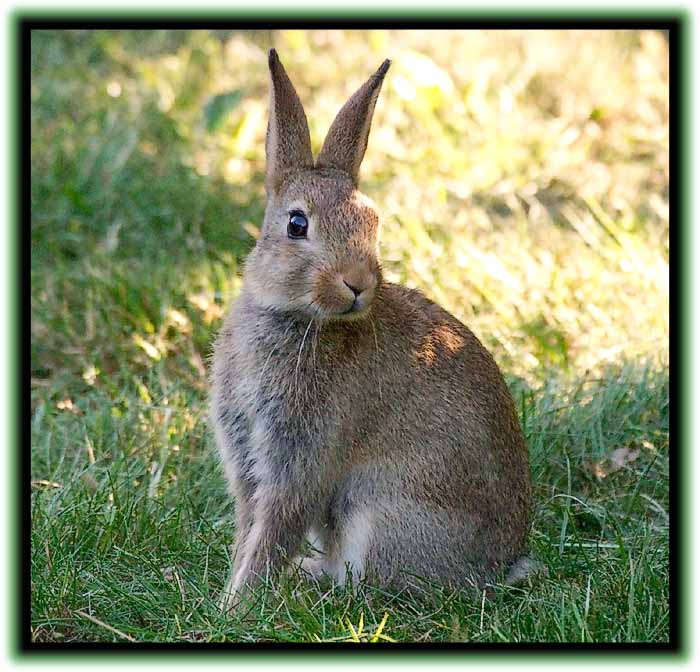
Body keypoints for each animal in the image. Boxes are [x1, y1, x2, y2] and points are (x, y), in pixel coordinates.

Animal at [211, 50, 532, 612]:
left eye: (372, 223)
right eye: (297, 225)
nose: (358, 282)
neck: (297, 318)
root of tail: (498, 568)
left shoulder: (300, 457)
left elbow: (273, 529)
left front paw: (235, 606)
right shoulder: (248, 455)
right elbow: (251, 526)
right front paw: (231, 598)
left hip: (378, 512)